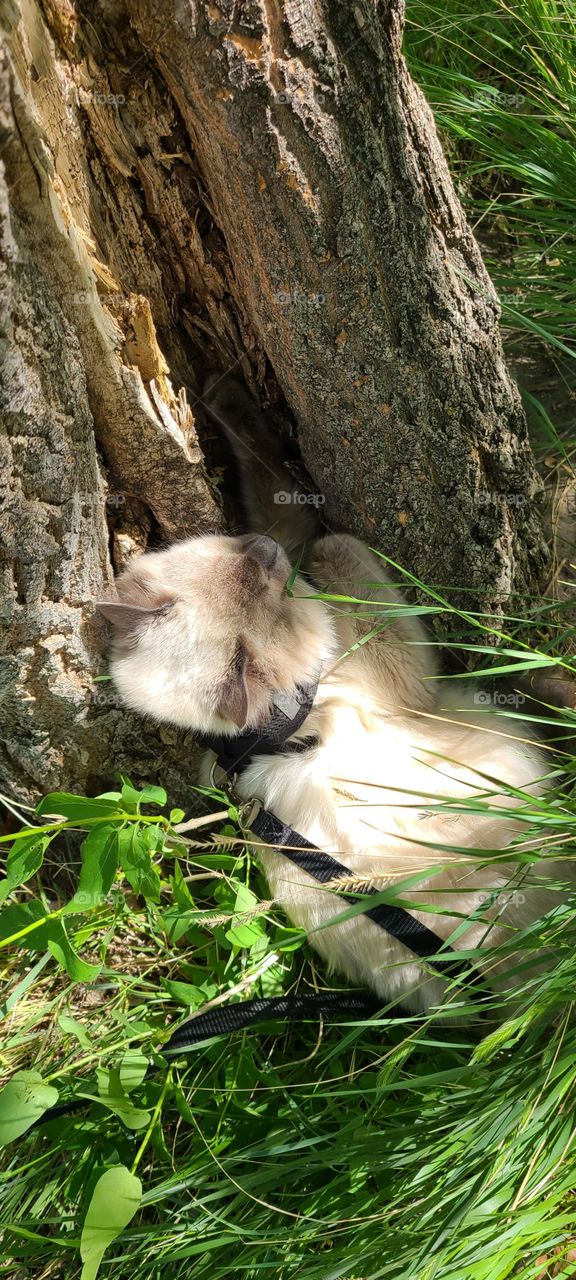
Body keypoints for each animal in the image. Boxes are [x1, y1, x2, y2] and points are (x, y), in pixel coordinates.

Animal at [96, 373, 568, 1013]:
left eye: (242, 563)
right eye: (260, 583)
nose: (263, 553)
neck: (278, 730)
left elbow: (275, 497)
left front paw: (223, 396)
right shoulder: (386, 649)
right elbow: (321, 534)